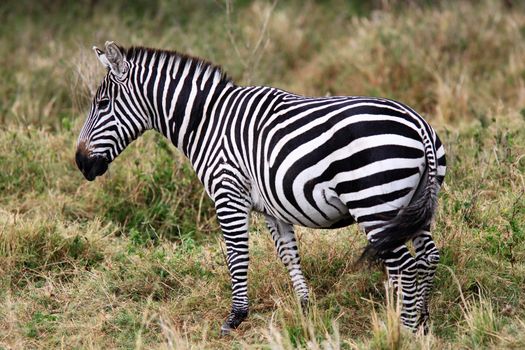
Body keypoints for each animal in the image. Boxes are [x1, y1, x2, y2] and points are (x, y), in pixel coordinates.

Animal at [77, 42, 446, 334]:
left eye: (103, 104)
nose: (81, 163)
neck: (206, 121)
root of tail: (419, 124)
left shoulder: (228, 194)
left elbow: (237, 255)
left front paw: (236, 316)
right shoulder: (273, 209)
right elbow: (289, 256)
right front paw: (305, 309)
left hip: (374, 203)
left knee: (405, 266)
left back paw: (405, 329)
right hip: (413, 206)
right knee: (428, 256)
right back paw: (423, 323)